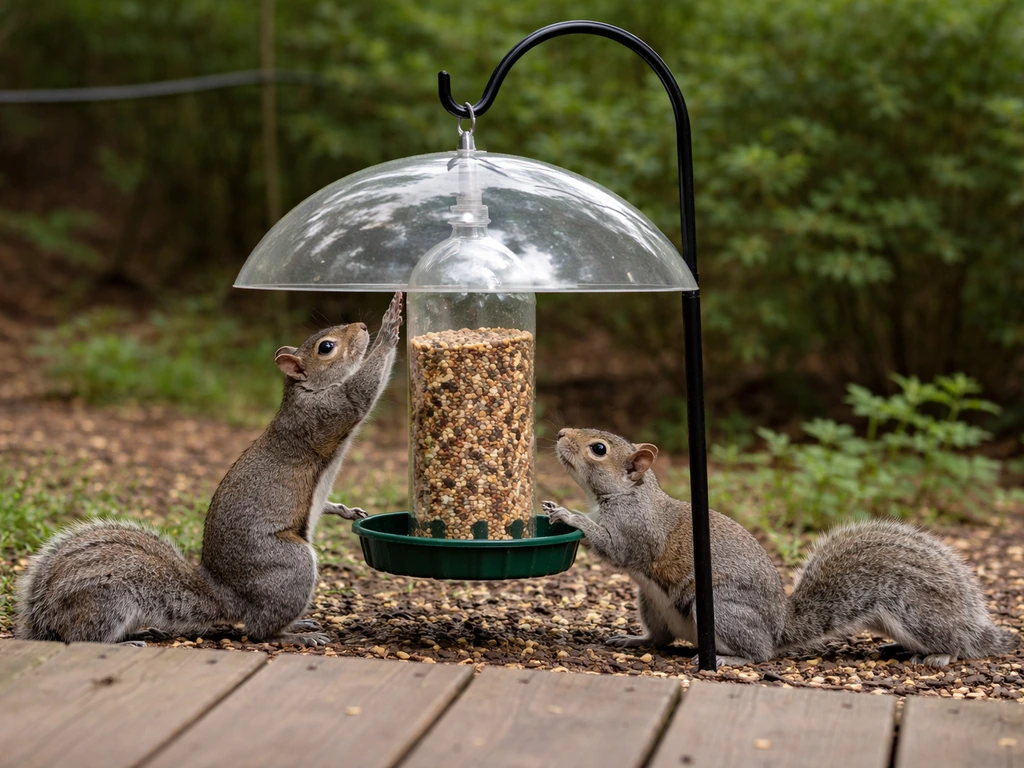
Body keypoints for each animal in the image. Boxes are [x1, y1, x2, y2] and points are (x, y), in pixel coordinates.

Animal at [16, 292, 403, 647]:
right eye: (327, 347)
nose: (363, 327)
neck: (306, 390)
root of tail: (227, 596)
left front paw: (344, 509)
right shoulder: (327, 412)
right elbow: (363, 390)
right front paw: (390, 328)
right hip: (289, 566)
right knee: (259, 630)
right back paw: (293, 635)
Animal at [542, 427, 1016, 668]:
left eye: (598, 449)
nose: (562, 432)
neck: (630, 494)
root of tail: (778, 627)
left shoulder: (636, 532)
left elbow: (614, 548)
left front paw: (568, 515)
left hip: (719, 607)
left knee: (760, 654)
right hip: (652, 603)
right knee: (660, 639)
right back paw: (634, 639)